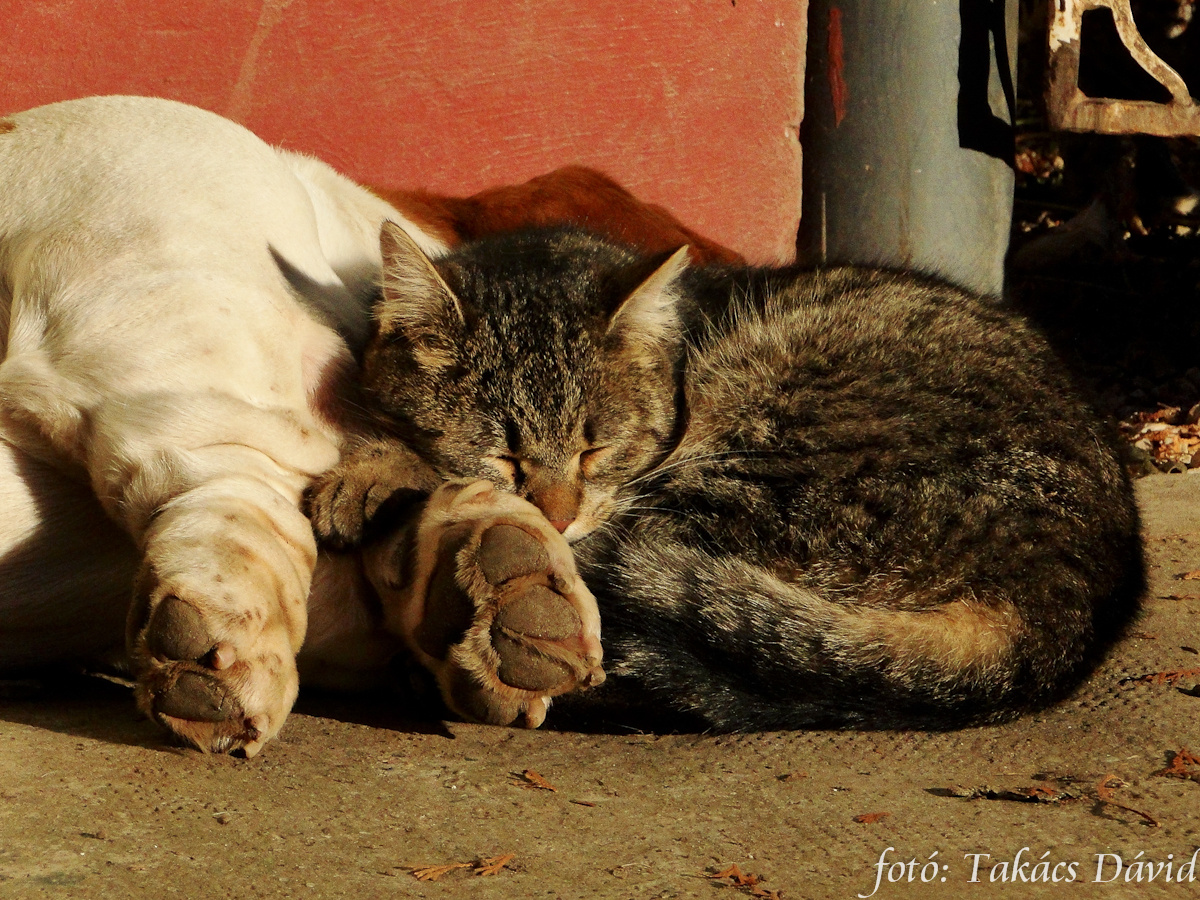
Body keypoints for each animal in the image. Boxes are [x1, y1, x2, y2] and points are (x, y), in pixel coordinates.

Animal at [304, 225, 1137, 734]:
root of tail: (1069, 593)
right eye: (506, 454)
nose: (563, 511)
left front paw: (375, 474)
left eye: (596, 450)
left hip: (756, 453)